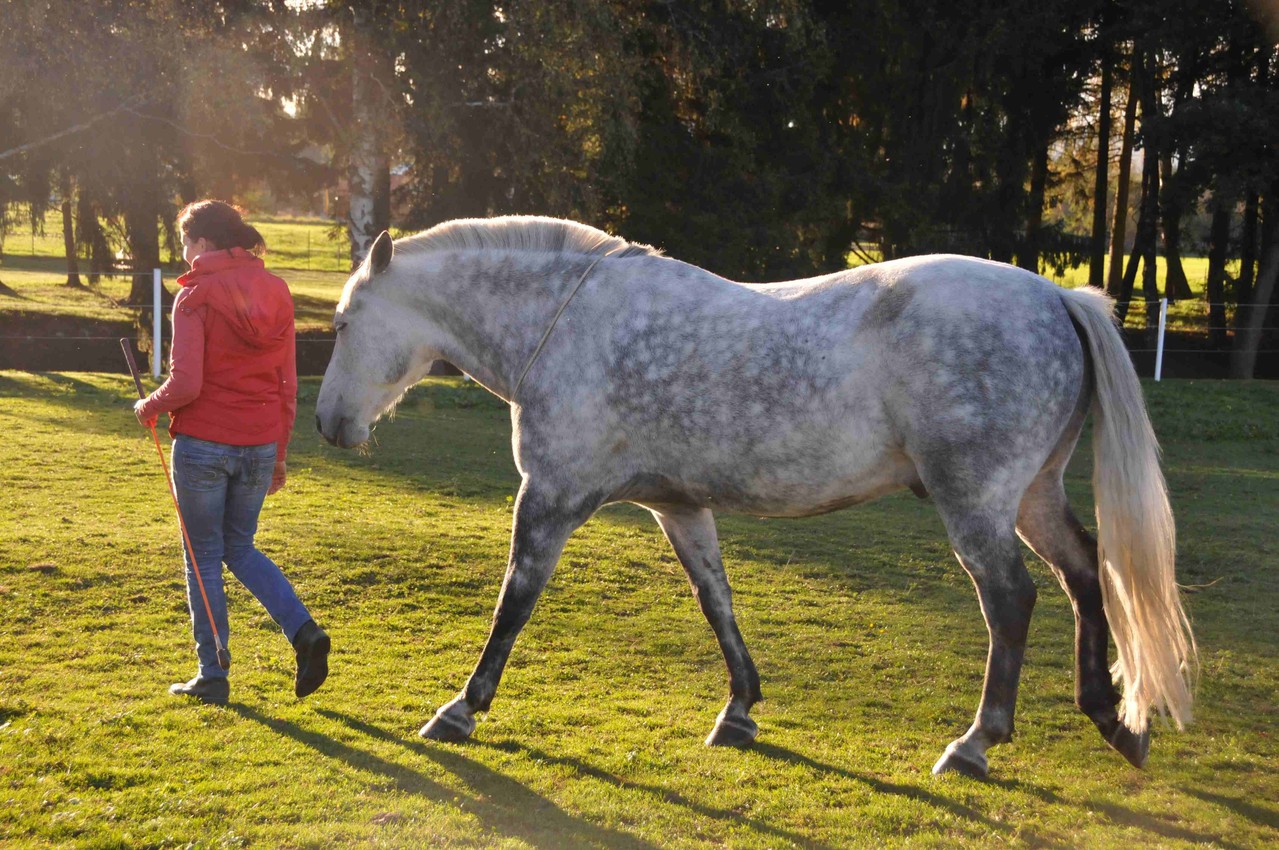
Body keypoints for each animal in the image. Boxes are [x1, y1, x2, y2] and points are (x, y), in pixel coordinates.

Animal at [314, 217, 1192, 777]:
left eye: (348, 320)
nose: (328, 424)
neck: (569, 325)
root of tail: (1058, 298)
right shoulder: (677, 505)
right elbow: (717, 601)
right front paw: (739, 708)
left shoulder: (553, 497)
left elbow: (514, 604)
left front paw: (461, 708)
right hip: (1031, 497)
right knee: (1086, 575)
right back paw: (1111, 719)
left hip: (975, 503)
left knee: (1011, 601)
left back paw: (976, 743)